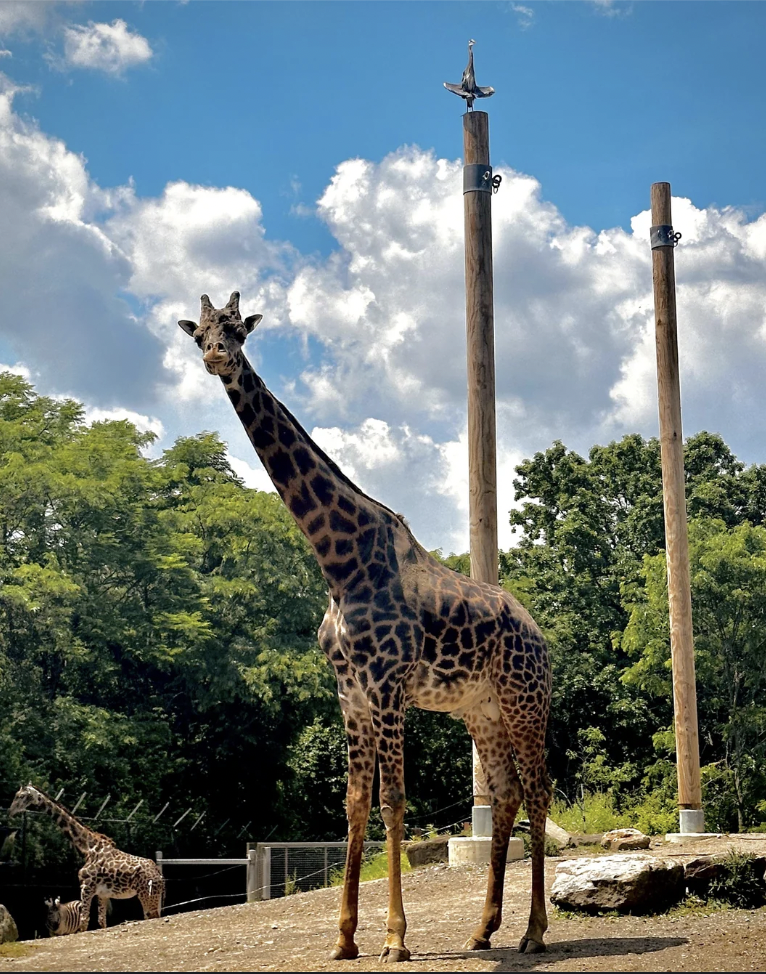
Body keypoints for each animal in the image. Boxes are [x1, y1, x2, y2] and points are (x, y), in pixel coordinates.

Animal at [9, 784, 164, 932]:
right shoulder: (102, 894)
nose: (10, 812)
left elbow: (84, 921)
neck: (87, 848)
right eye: (16, 795)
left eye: (21, 796)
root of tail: (159, 875)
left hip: (147, 895)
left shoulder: (86, 887)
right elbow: (102, 922)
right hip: (153, 897)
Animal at [180, 290, 552, 960]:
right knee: (508, 793)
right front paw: (344, 937)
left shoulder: (386, 687)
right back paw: (484, 929)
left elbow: (393, 802)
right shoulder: (349, 692)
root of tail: (540, 634)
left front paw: (396, 938)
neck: (339, 563)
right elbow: (354, 805)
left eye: (237, 330)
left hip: (524, 700)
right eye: (199, 333)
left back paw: (534, 931)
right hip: (480, 710)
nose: (217, 357)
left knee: (538, 793)